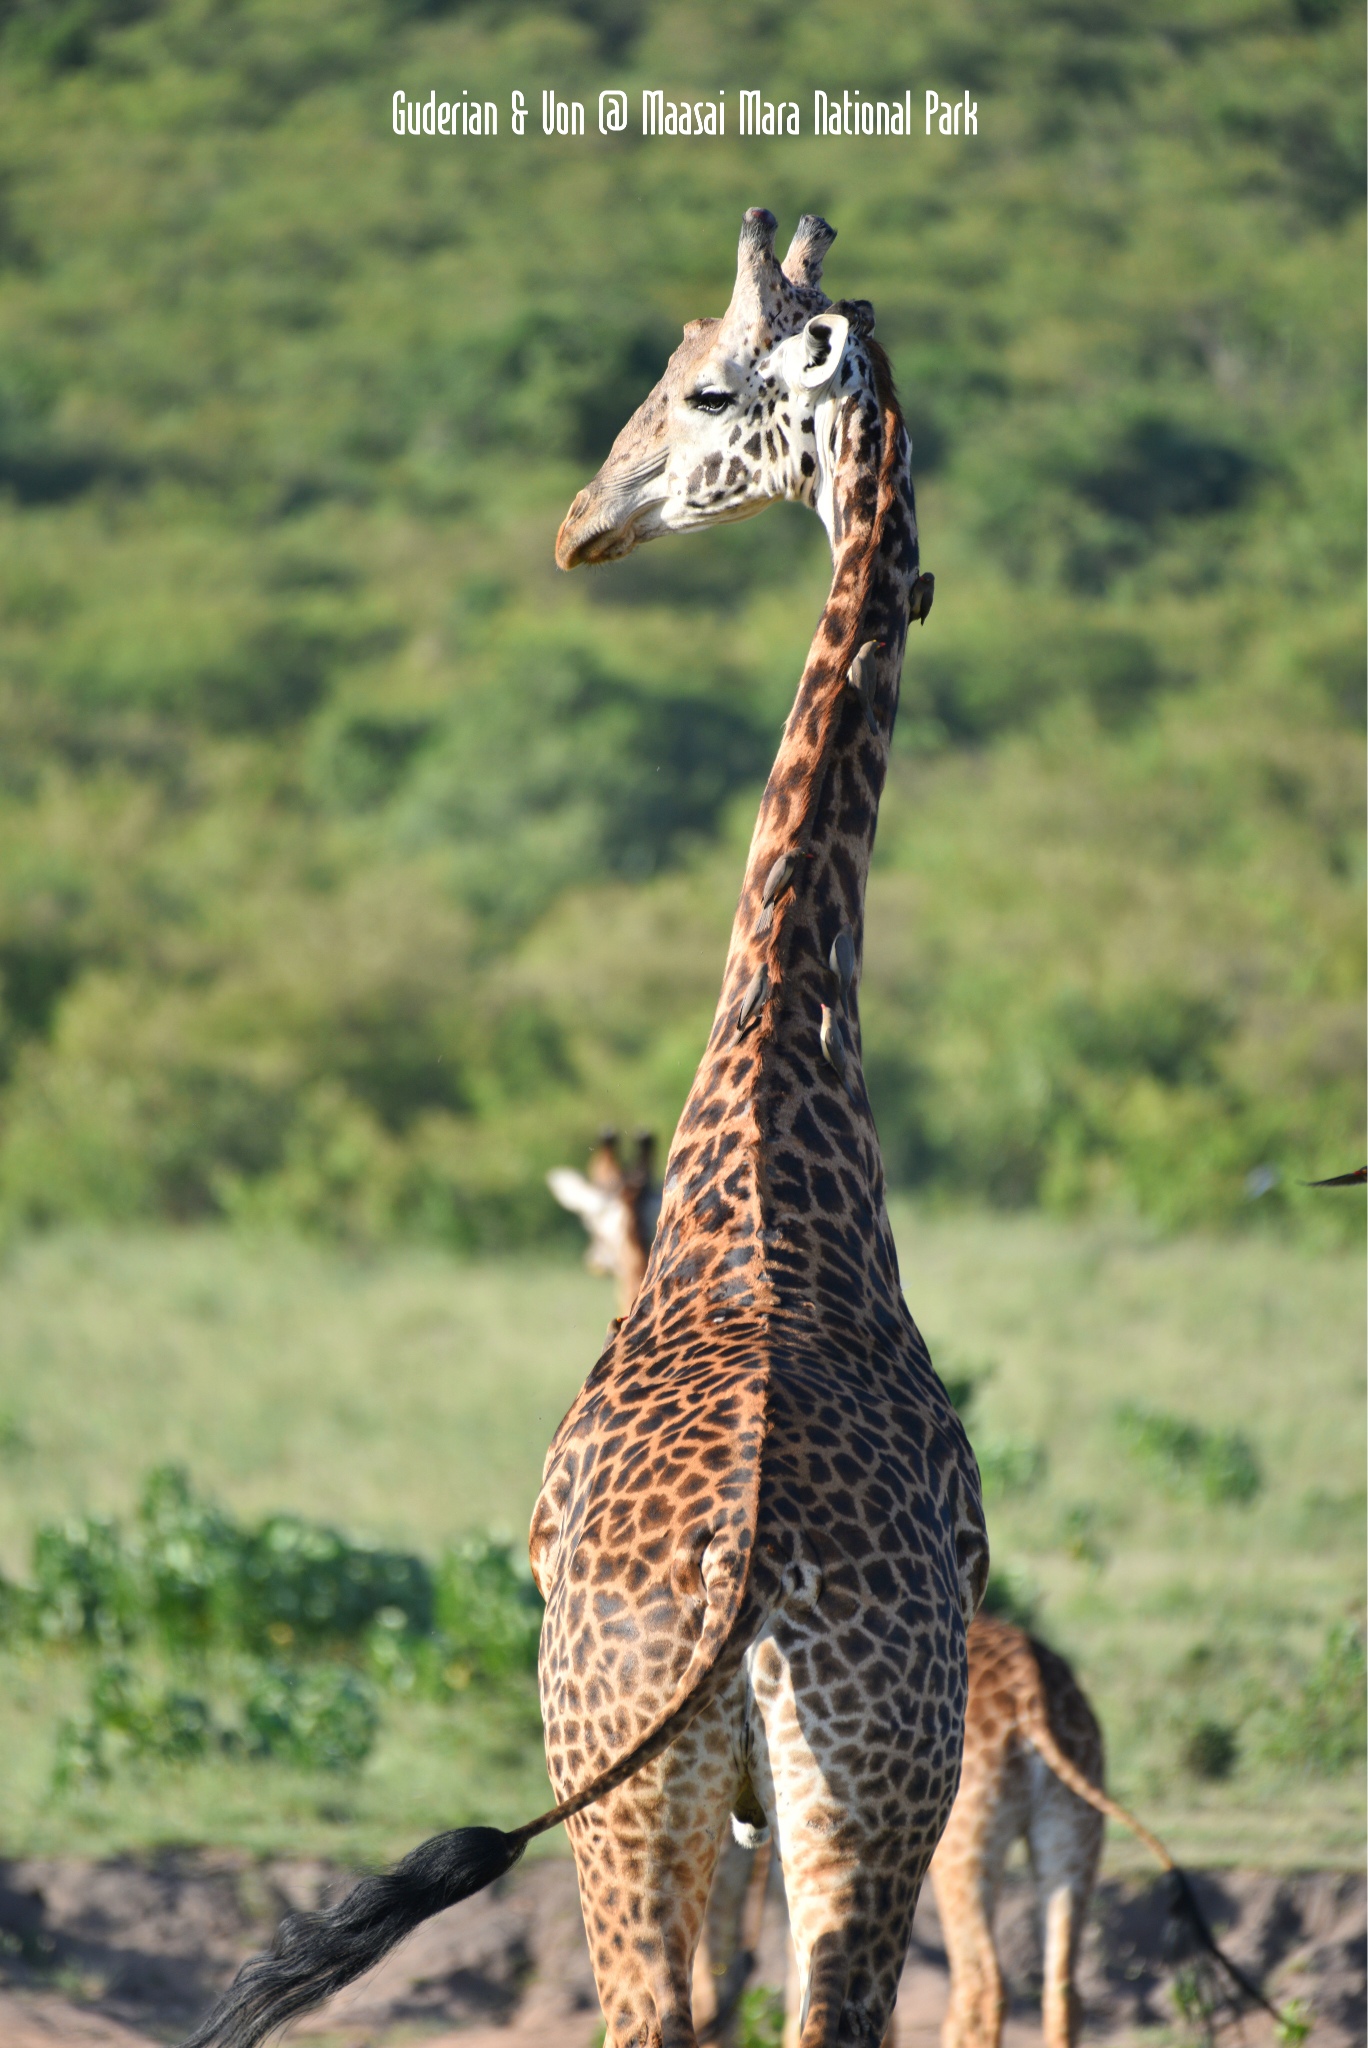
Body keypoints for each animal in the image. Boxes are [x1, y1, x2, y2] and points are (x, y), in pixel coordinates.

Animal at [187, 203, 987, 2048]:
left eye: (703, 388)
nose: (579, 526)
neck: (775, 1094)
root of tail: (743, 1581)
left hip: (637, 1788)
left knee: (657, 2014)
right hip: (852, 1799)